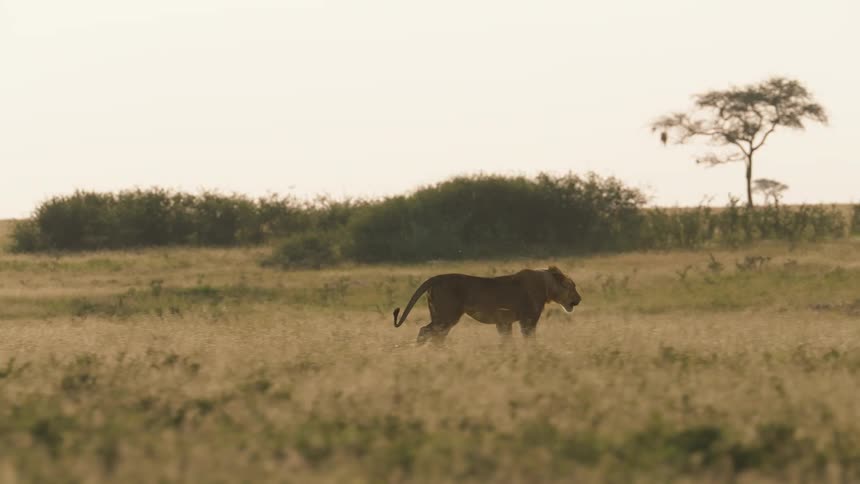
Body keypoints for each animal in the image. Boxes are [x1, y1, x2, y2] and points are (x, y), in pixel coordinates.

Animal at [392, 266, 581, 345]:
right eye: (572, 286)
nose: (579, 299)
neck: (547, 284)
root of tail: (436, 277)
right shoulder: (528, 320)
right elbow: (529, 339)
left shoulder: (504, 322)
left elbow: (506, 341)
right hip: (447, 316)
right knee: (425, 331)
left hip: (441, 316)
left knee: (435, 335)